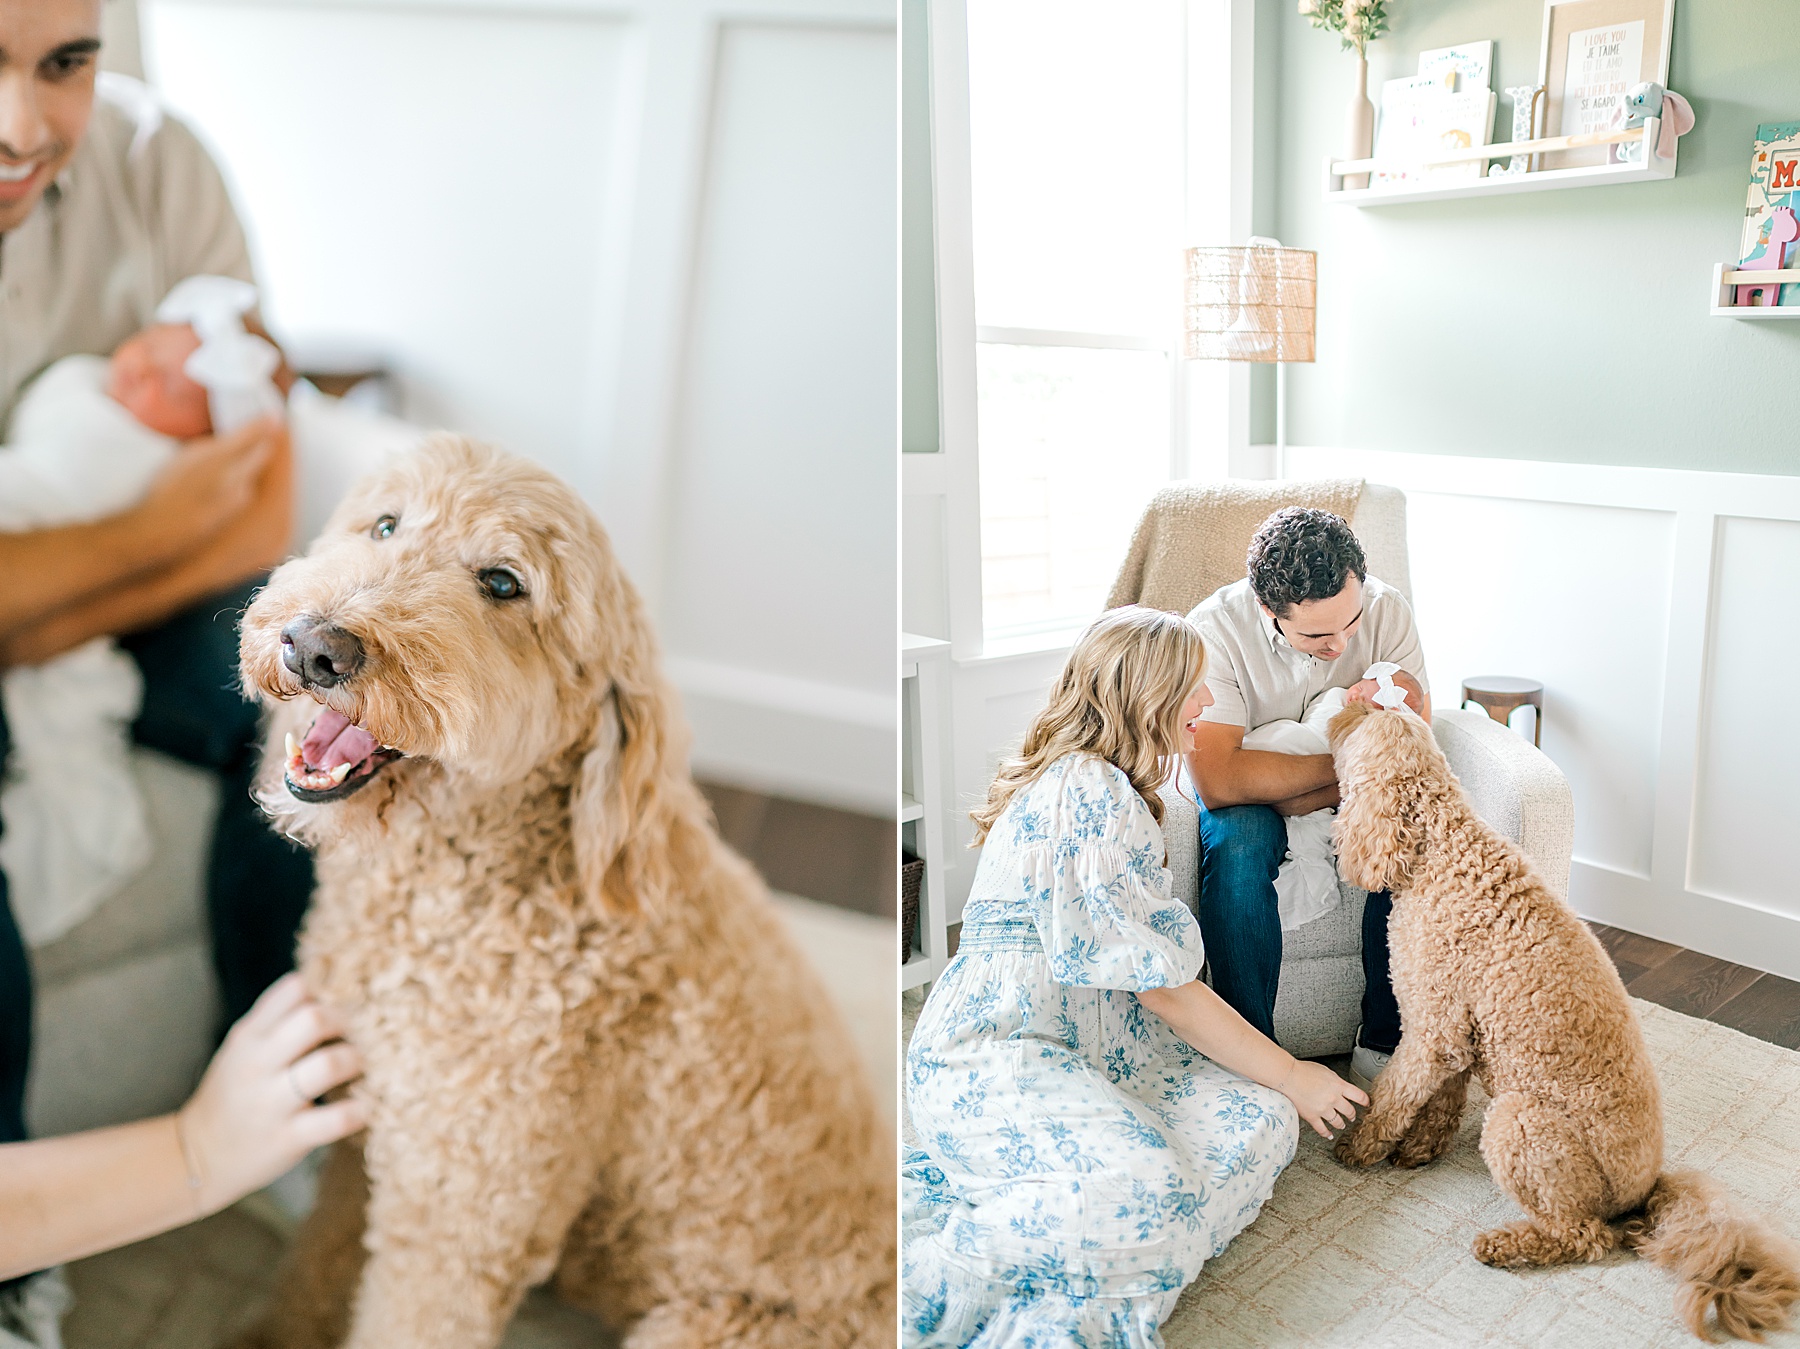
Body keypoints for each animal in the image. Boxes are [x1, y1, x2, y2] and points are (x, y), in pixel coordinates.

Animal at [228, 437, 896, 1339]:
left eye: (503, 583)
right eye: (386, 524)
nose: (314, 646)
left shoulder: (456, 1219)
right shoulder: (364, 1131)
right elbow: (317, 1264)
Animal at [1324, 698, 1800, 1339]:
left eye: (1363, 722)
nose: (1339, 709)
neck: (1440, 850)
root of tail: (1645, 1189)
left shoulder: (1431, 1029)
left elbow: (1393, 1096)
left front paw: (1359, 1149)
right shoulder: (1457, 1031)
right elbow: (1440, 1101)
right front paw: (1419, 1150)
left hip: (1520, 1122)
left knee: (1586, 1236)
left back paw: (1507, 1246)